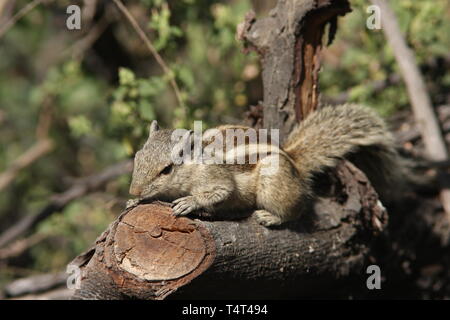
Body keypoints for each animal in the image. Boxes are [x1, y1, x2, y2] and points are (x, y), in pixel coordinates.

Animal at [126, 104, 404, 226]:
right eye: (137, 157)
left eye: (167, 169)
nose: (133, 190)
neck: (197, 161)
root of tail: (294, 164)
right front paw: (134, 201)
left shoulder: (215, 177)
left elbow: (221, 191)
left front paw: (190, 202)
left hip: (274, 183)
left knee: (296, 211)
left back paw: (270, 217)